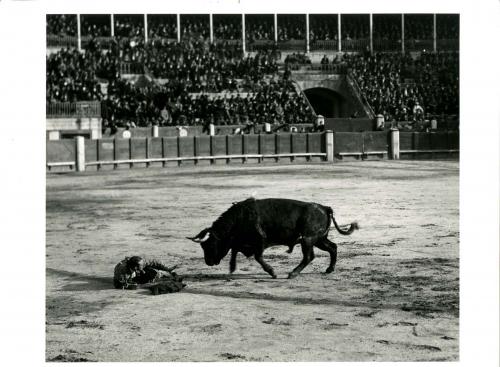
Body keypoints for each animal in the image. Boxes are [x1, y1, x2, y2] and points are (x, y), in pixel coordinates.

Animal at [186, 198, 358, 278]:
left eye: (210, 244)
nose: (208, 262)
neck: (239, 219)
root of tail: (324, 208)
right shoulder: (242, 243)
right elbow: (234, 250)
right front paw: (232, 268)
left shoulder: (259, 242)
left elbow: (257, 257)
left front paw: (272, 272)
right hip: (319, 239)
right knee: (332, 247)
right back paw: (329, 270)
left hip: (308, 239)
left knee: (309, 256)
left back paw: (292, 274)